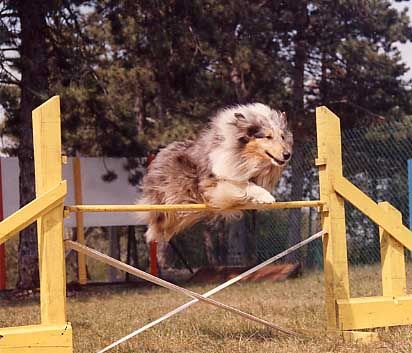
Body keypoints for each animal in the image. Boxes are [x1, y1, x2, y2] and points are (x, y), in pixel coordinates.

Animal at [138, 102, 292, 242]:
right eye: (268, 136)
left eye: (282, 137)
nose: (287, 155)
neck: (245, 156)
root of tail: (159, 153)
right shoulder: (214, 182)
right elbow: (244, 184)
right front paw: (266, 197)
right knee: (158, 221)